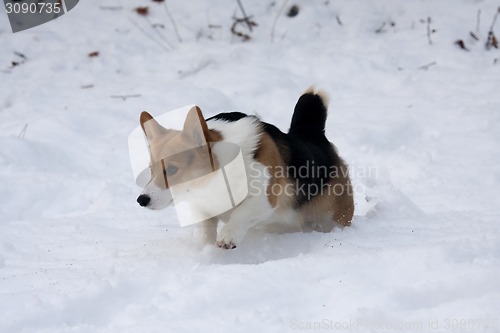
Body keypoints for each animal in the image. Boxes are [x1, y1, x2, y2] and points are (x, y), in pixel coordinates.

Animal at [138, 88, 356, 249]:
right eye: (151, 169)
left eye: (172, 170)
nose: (141, 200)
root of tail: (312, 136)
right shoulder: (203, 205)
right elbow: (206, 225)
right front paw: (204, 246)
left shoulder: (265, 198)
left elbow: (241, 213)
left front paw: (228, 236)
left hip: (333, 216)